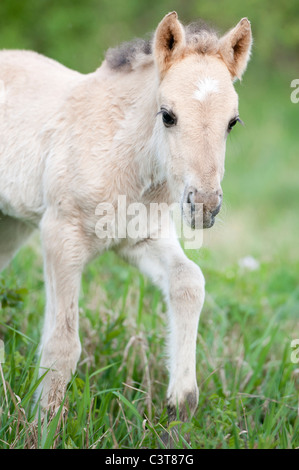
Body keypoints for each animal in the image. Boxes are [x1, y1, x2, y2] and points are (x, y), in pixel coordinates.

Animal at [0, 12, 253, 420]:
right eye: (168, 116)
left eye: (232, 122)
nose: (204, 205)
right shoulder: (60, 236)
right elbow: (62, 344)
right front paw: (45, 424)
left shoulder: (141, 238)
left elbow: (188, 282)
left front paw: (179, 406)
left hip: (10, 226)